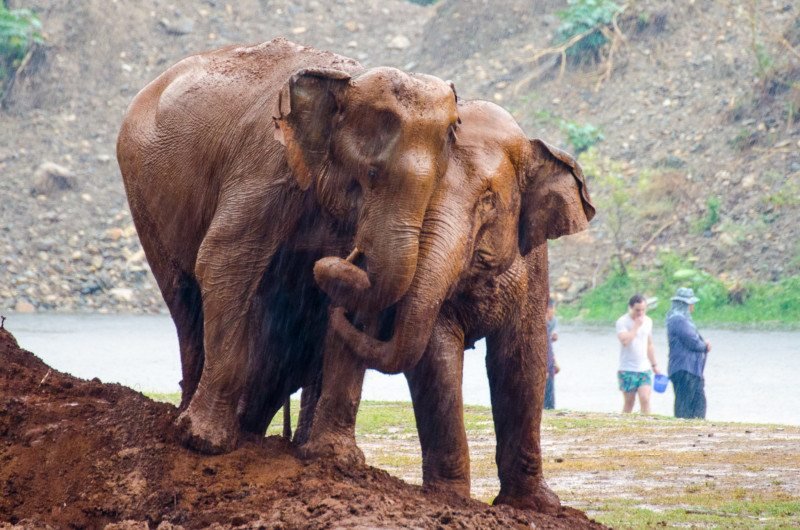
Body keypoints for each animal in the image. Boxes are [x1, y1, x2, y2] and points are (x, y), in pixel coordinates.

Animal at [116, 37, 459, 454]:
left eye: (438, 182)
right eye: (371, 174)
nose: (350, 256)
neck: (349, 80)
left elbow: (354, 295)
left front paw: (336, 458)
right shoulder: (266, 165)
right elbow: (222, 260)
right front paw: (206, 442)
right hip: (141, 192)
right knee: (184, 298)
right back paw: (190, 422)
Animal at [301, 99, 595, 514]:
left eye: (488, 199)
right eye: (422, 198)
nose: (352, 260)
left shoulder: (535, 265)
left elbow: (522, 359)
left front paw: (536, 506)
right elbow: (436, 355)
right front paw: (449, 499)